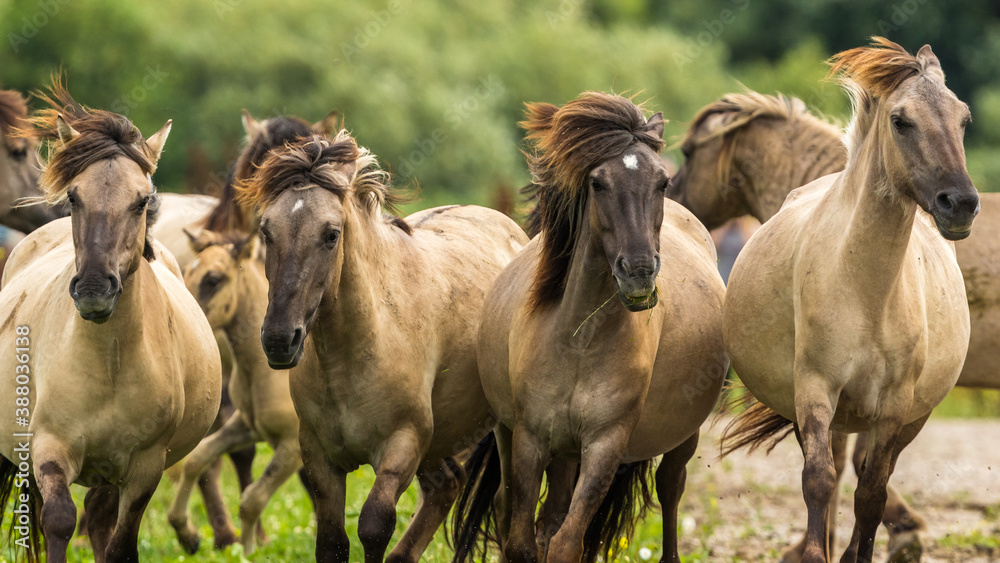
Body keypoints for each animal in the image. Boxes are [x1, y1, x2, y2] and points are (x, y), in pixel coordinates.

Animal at [167, 229, 306, 555]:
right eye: (187, 271)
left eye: (213, 279)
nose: (185, 318)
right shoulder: (247, 425)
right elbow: (198, 457)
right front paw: (186, 533)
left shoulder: (292, 445)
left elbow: (253, 498)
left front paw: (248, 551)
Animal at [236, 131, 526, 562]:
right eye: (267, 231)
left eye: (331, 234)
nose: (278, 340)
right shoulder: (319, 455)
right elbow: (332, 542)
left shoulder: (401, 446)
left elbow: (373, 526)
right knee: (447, 486)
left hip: (499, 434)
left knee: (505, 508)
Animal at [451, 92, 727, 563]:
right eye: (597, 183)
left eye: (662, 183)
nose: (639, 272)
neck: (580, 342)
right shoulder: (531, 440)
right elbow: (523, 541)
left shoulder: (604, 444)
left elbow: (566, 542)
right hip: (522, 438)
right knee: (526, 511)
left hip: (677, 439)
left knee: (669, 490)